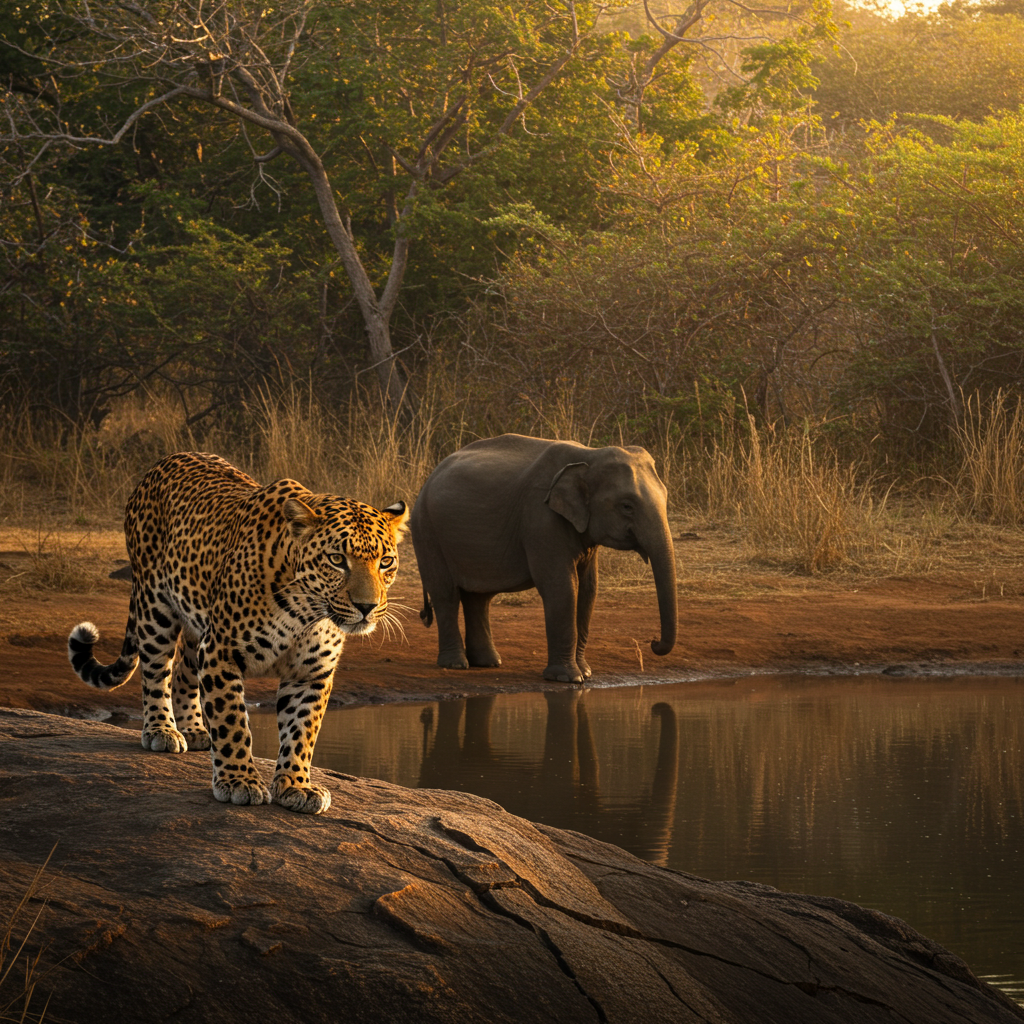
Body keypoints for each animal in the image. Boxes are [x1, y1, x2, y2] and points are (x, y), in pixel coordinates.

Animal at [411, 434, 678, 682]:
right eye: (626, 506)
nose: (652, 641)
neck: (589, 455)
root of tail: (428, 479)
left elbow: (588, 589)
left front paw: (586, 673)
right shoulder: (540, 517)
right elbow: (562, 587)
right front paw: (568, 678)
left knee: (479, 597)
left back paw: (488, 663)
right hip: (426, 529)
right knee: (445, 593)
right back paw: (455, 664)